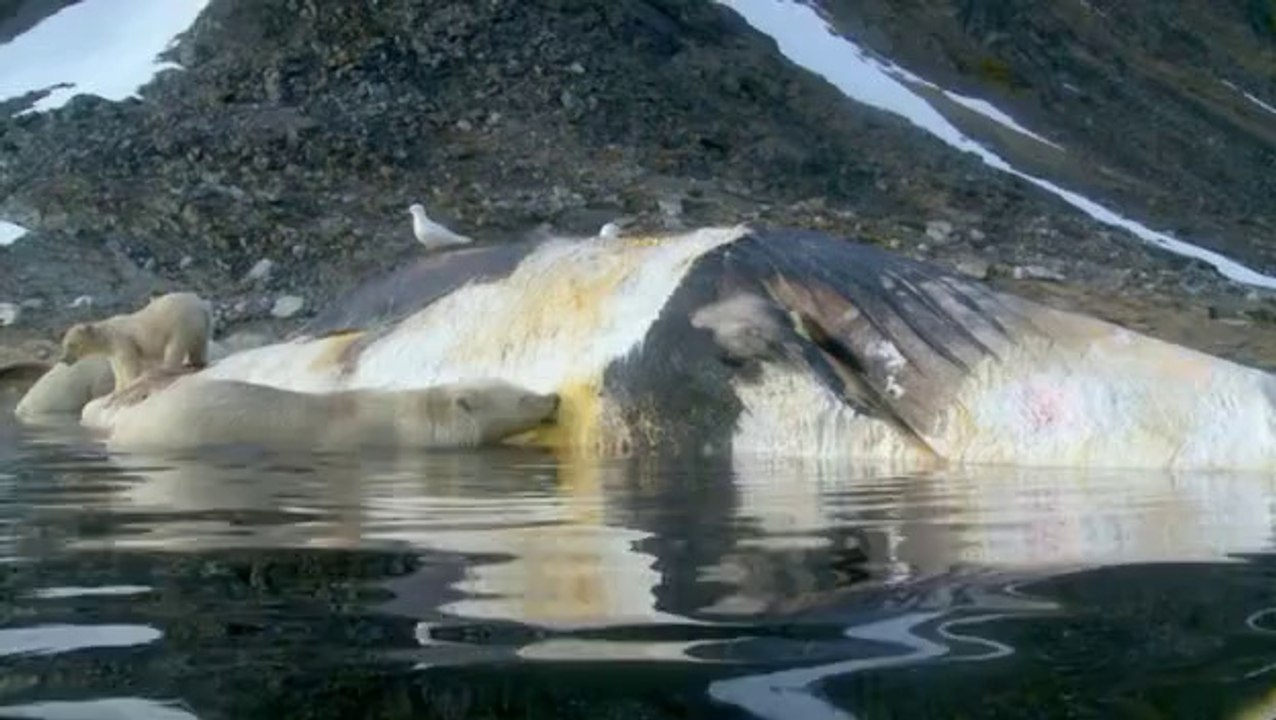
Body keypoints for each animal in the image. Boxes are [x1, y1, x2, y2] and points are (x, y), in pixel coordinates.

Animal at [60, 292, 213, 392]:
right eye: (64, 344)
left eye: (71, 344)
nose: (63, 359)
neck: (108, 336)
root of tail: (202, 306)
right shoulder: (113, 352)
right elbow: (117, 369)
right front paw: (118, 388)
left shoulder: (122, 341)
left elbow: (129, 364)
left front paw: (130, 383)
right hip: (200, 326)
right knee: (199, 345)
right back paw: (197, 362)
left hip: (180, 323)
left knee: (175, 347)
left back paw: (167, 368)